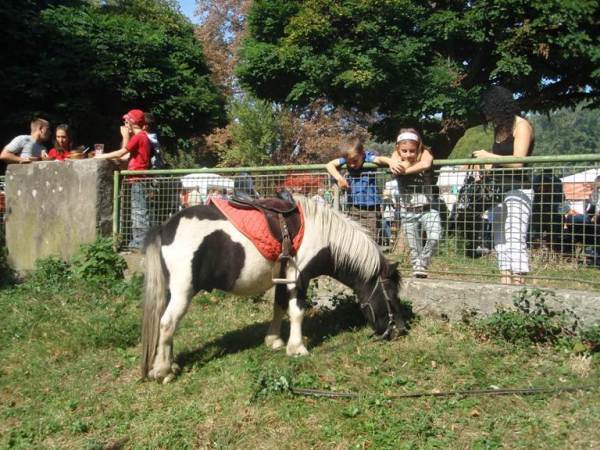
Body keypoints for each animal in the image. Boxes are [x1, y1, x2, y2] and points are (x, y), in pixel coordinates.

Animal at [141, 195, 408, 382]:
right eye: (392, 294)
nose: (400, 330)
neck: (322, 236)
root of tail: (164, 228)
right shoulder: (298, 278)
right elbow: (297, 311)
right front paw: (297, 348)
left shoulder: (283, 276)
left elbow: (279, 307)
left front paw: (274, 341)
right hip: (183, 291)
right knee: (167, 323)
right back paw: (163, 371)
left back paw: (169, 364)